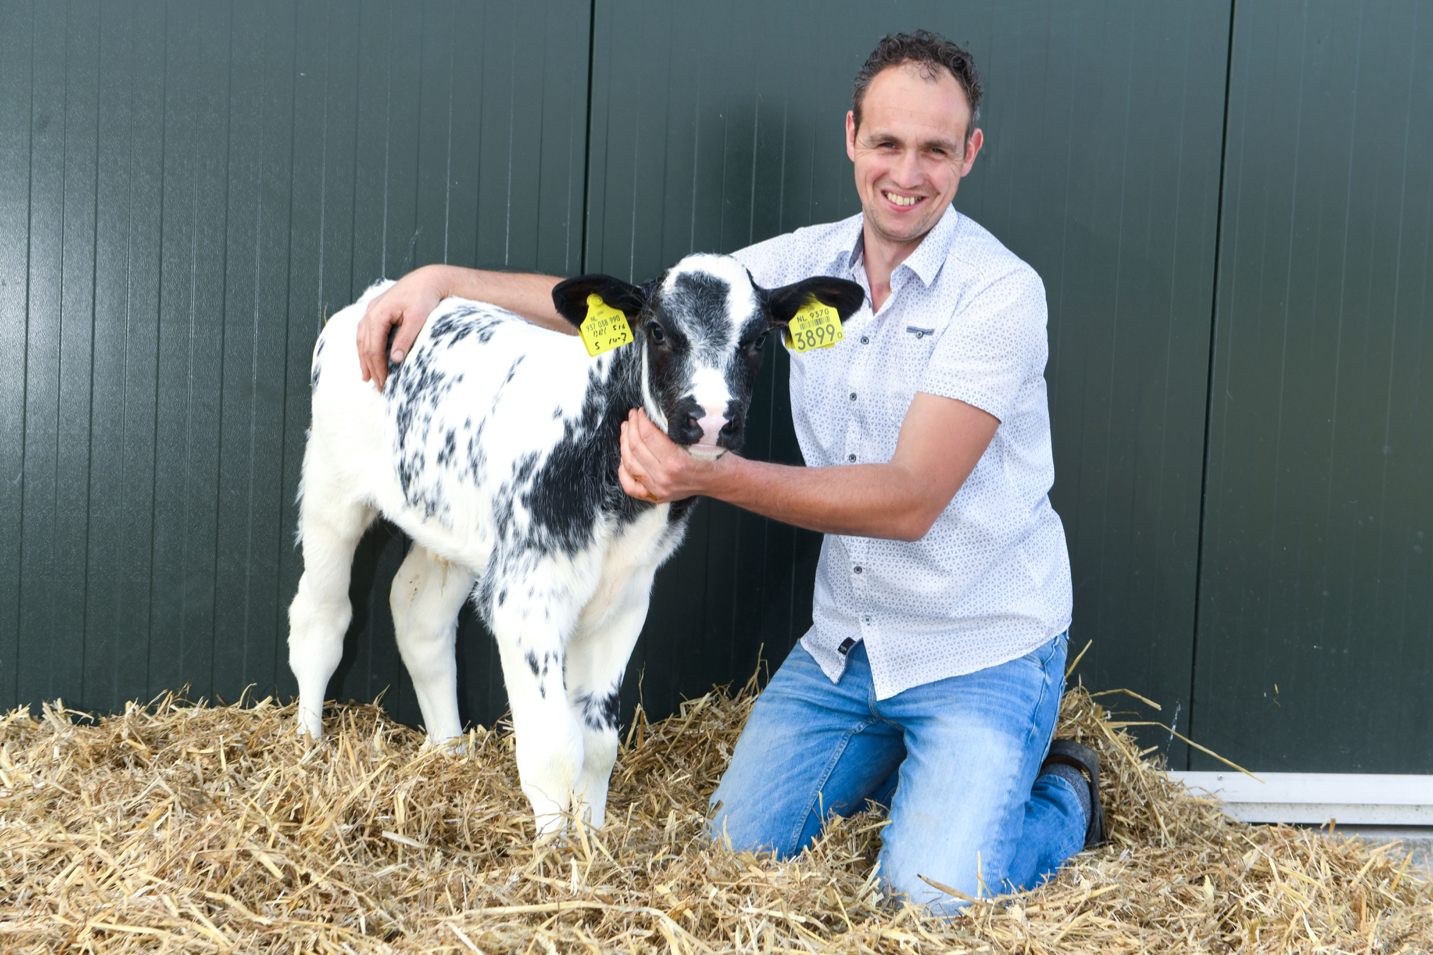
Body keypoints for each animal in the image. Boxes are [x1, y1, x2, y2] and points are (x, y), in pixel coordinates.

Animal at [285, 256, 854, 831]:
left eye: (758, 338)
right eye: (657, 331)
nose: (712, 418)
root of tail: (376, 297)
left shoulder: (625, 599)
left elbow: (598, 744)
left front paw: (593, 836)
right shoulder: (524, 596)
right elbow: (553, 749)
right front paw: (553, 852)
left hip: (450, 526)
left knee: (420, 617)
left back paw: (449, 751)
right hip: (331, 490)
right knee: (320, 618)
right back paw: (306, 750)